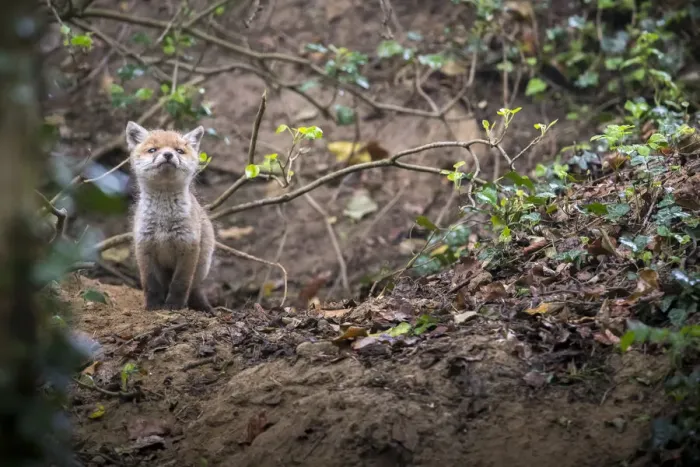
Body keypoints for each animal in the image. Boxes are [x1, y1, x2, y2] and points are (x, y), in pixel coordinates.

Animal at [126, 121, 215, 314]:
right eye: (152, 150)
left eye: (179, 151)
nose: (168, 154)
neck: (163, 221)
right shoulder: (144, 247)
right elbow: (150, 285)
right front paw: (153, 305)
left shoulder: (188, 247)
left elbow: (180, 284)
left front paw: (174, 305)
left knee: (193, 288)